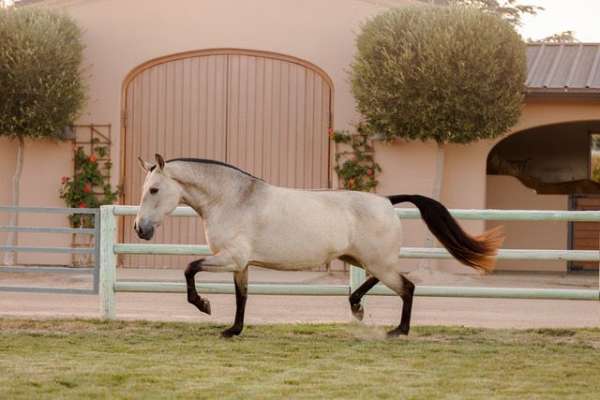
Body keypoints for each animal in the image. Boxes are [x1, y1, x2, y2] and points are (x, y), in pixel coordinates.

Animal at [134, 153, 504, 338]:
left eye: (154, 189)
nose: (141, 229)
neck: (233, 199)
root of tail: (387, 200)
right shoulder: (241, 264)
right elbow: (242, 297)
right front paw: (233, 330)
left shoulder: (231, 258)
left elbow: (189, 268)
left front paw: (204, 305)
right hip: (362, 258)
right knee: (383, 282)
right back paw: (357, 308)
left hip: (377, 261)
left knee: (407, 287)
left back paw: (398, 331)